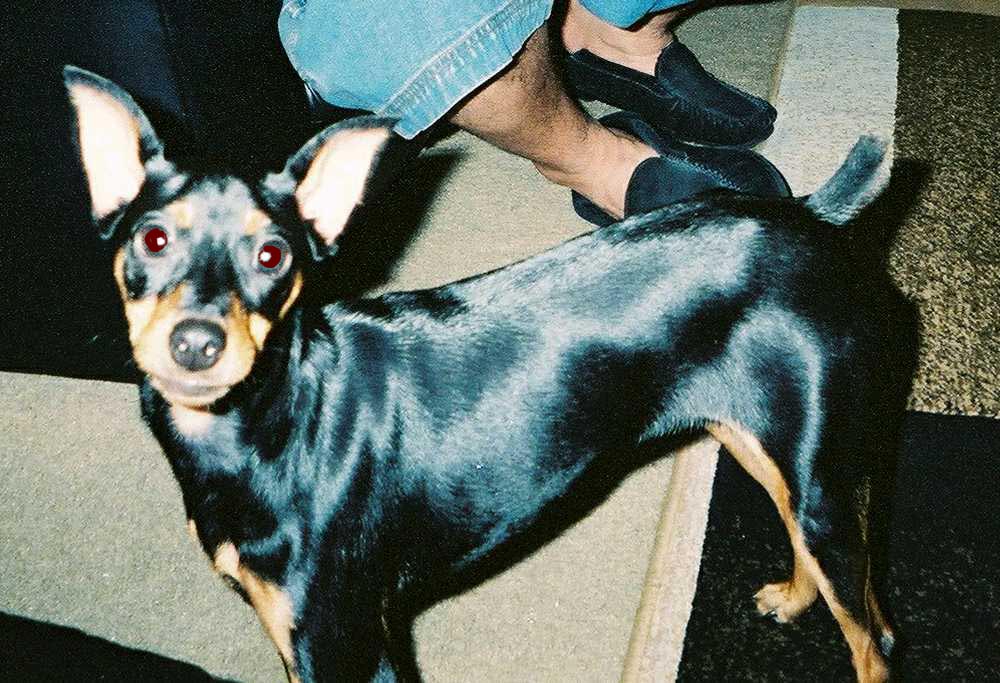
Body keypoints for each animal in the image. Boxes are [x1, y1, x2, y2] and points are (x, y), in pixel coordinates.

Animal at [64, 65, 901, 682]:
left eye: (273, 254)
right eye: (152, 239)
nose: (196, 342)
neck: (274, 421)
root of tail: (808, 217)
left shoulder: (344, 646)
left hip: (814, 465)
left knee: (872, 634)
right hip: (761, 441)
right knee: (826, 557)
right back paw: (794, 596)